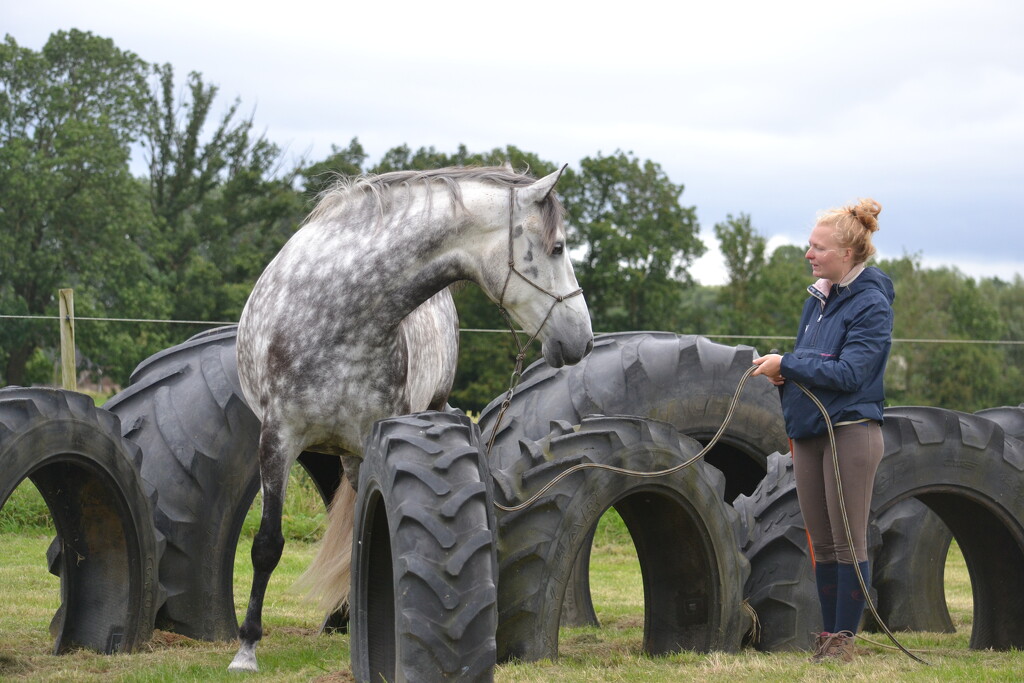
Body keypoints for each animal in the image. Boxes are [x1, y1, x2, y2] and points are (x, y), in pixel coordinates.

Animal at [230, 165, 593, 671]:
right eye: (557, 248)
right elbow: (267, 545)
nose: (583, 340)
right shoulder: (276, 438)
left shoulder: (383, 435)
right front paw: (246, 648)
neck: (340, 311)